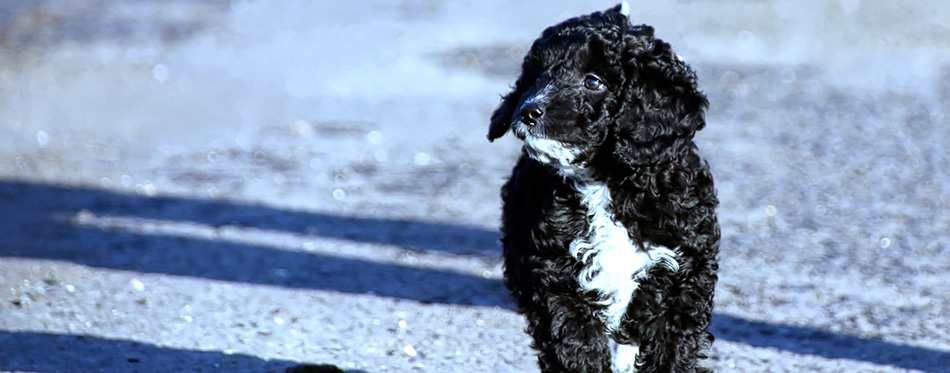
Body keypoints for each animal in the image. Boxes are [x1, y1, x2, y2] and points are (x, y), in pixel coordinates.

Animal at [490, 3, 720, 372]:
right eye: (537, 76)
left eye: (593, 81)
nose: (527, 111)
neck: (608, 183)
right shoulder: (556, 279)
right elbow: (575, 344)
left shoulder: (682, 281)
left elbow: (671, 350)